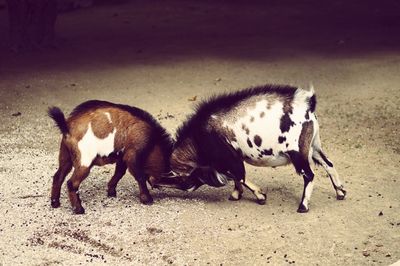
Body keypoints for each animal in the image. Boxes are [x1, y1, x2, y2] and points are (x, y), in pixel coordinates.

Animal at [155, 84, 346, 213]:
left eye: (183, 180)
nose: (158, 184)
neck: (198, 137)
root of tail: (308, 105)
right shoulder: (230, 159)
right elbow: (238, 177)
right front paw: (236, 194)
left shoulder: (227, 158)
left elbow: (239, 175)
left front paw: (260, 196)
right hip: (313, 146)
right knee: (328, 164)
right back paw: (340, 192)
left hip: (297, 151)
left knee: (309, 175)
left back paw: (303, 206)